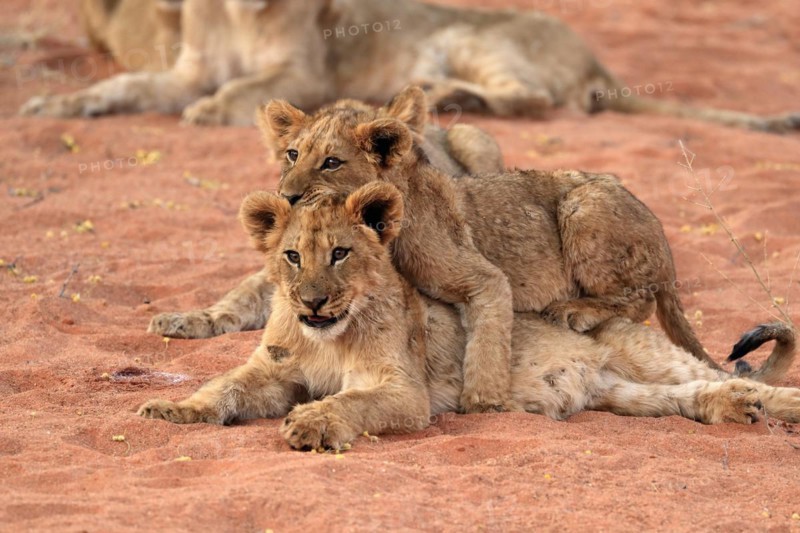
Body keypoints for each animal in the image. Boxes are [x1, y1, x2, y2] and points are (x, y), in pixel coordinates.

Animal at [138, 184, 800, 452]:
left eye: (342, 253)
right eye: (292, 256)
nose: (312, 302)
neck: (327, 336)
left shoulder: (402, 391)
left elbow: (351, 402)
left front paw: (313, 424)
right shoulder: (271, 372)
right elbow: (221, 387)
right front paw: (173, 410)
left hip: (643, 352)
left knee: (753, 382)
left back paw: (764, 404)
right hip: (626, 395)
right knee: (694, 394)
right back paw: (731, 408)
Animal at [151, 87, 718, 415]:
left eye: (331, 162)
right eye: (292, 154)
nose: (287, 195)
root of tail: (664, 243)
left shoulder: (484, 278)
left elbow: (488, 336)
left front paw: (483, 398)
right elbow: (242, 295)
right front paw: (185, 320)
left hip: (582, 204)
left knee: (639, 298)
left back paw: (576, 310)